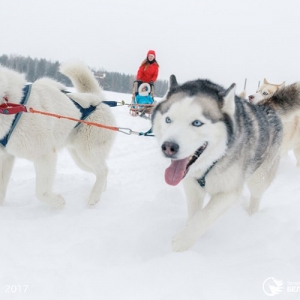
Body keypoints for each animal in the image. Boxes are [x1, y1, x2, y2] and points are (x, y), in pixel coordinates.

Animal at [0, 60, 116, 206]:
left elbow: (41, 192)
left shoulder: (45, 154)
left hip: (87, 153)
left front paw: (58, 202)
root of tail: (97, 99)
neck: (8, 103)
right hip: (79, 159)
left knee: (103, 170)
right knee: (102, 170)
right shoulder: (6, 157)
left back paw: (94, 196)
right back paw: (101, 190)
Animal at [152, 75, 284, 251]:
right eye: (168, 119)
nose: (168, 147)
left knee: (256, 195)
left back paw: (250, 216)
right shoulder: (192, 185)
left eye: (197, 123)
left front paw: (183, 241)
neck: (212, 162)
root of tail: (266, 108)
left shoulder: (230, 192)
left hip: (260, 178)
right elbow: (195, 214)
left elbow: (205, 214)